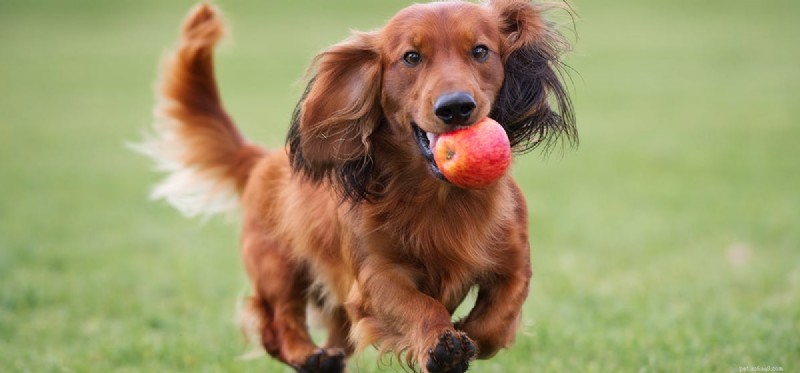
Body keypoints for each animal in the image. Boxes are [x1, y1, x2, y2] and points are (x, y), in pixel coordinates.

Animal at [139, 1, 576, 370]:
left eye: (481, 51)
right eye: (411, 57)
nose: (455, 107)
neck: (439, 197)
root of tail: (262, 158)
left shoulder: (515, 264)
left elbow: (496, 321)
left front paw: (468, 332)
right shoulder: (375, 277)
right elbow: (420, 306)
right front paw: (442, 344)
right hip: (277, 265)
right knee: (277, 322)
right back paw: (308, 355)